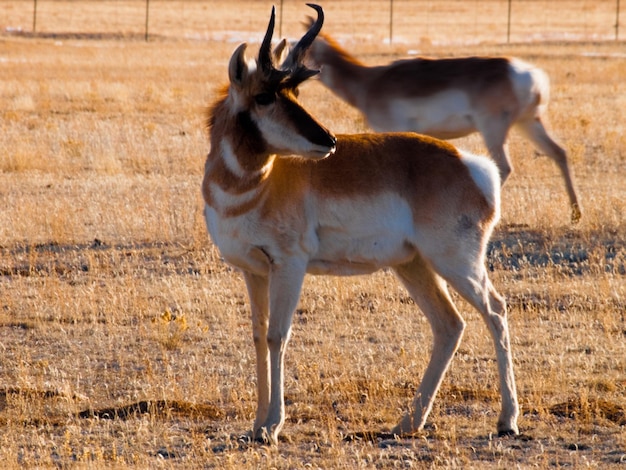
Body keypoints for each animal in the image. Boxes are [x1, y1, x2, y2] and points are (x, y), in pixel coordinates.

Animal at [201, 3, 516, 444]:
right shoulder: (254, 271)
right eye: (264, 96)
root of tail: (469, 164)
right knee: (449, 325)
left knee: (496, 311)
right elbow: (259, 336)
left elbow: (279, 335)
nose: (329, 141)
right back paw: (408, 422)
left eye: (295, 93)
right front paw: (256, 424)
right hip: (413, 266)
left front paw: (273, 426)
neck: (254, 184)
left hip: (455, 264)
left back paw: (507, 421)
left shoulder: (290, 266)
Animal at [304, 28, 580, 223]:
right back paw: (575, 214)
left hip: (493, 129)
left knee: (503, 166)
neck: (370, 82)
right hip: (529, 123)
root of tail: (528, 74)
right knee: (559, 153)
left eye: (300, 45)